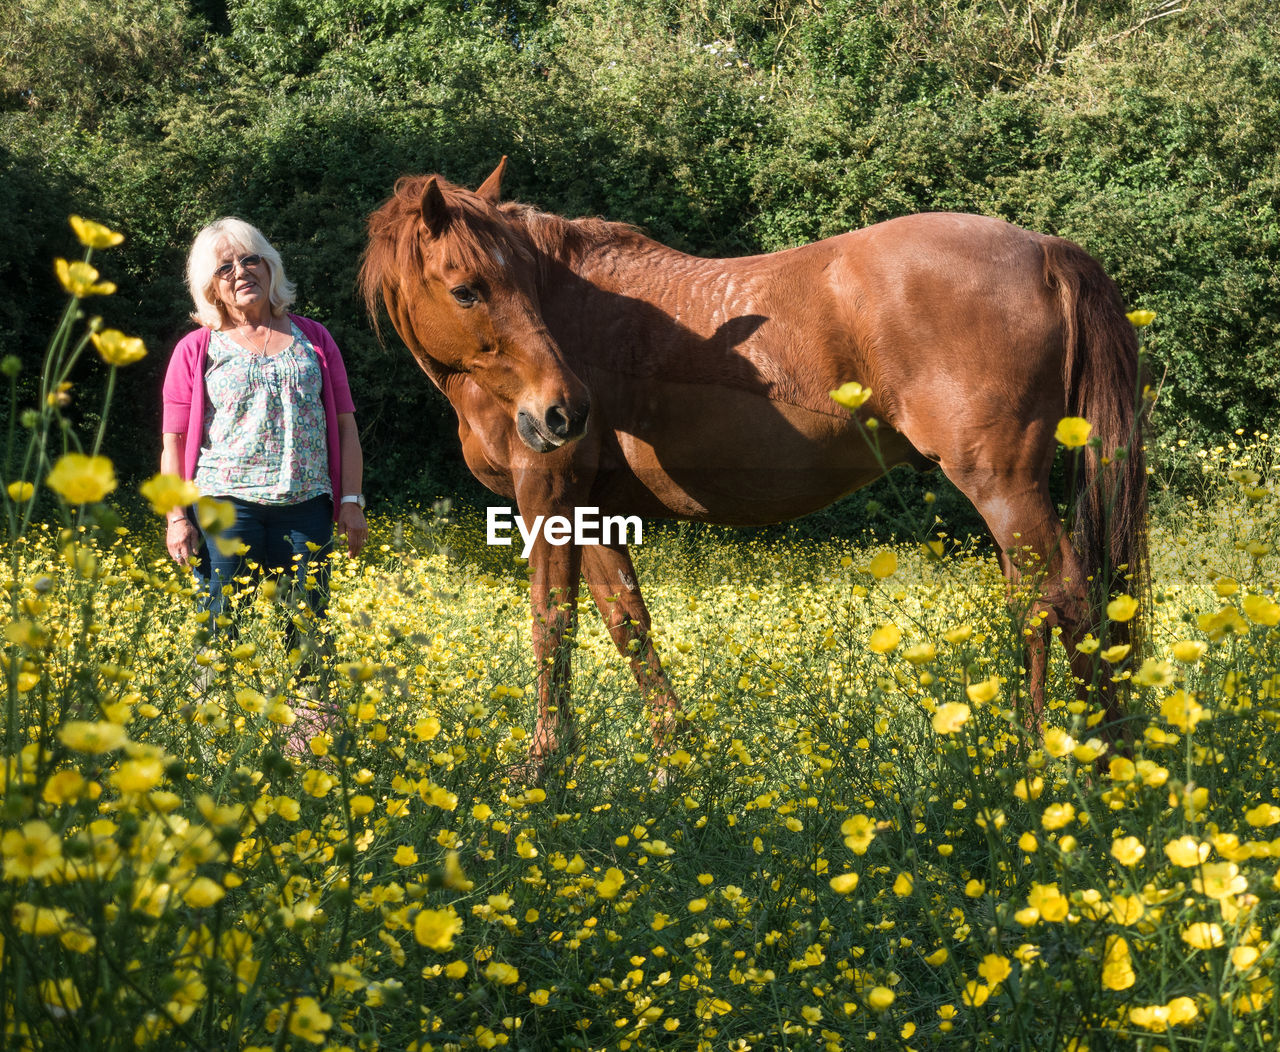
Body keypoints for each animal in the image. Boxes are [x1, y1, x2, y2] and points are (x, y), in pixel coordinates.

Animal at [360, 160, 1152, 778]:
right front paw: (675, 761)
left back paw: (1095, 762)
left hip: (1002, 485)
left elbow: (551, 622)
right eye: (468, 288)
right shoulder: (591, 510)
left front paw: (544, 769)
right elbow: (627, 624)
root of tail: (1042, 249)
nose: (565, 413)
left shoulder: (547, 493)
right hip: (1009, 494)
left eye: (519, 283)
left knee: (1066, 598)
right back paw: (1037, 750)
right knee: (1035, 606)